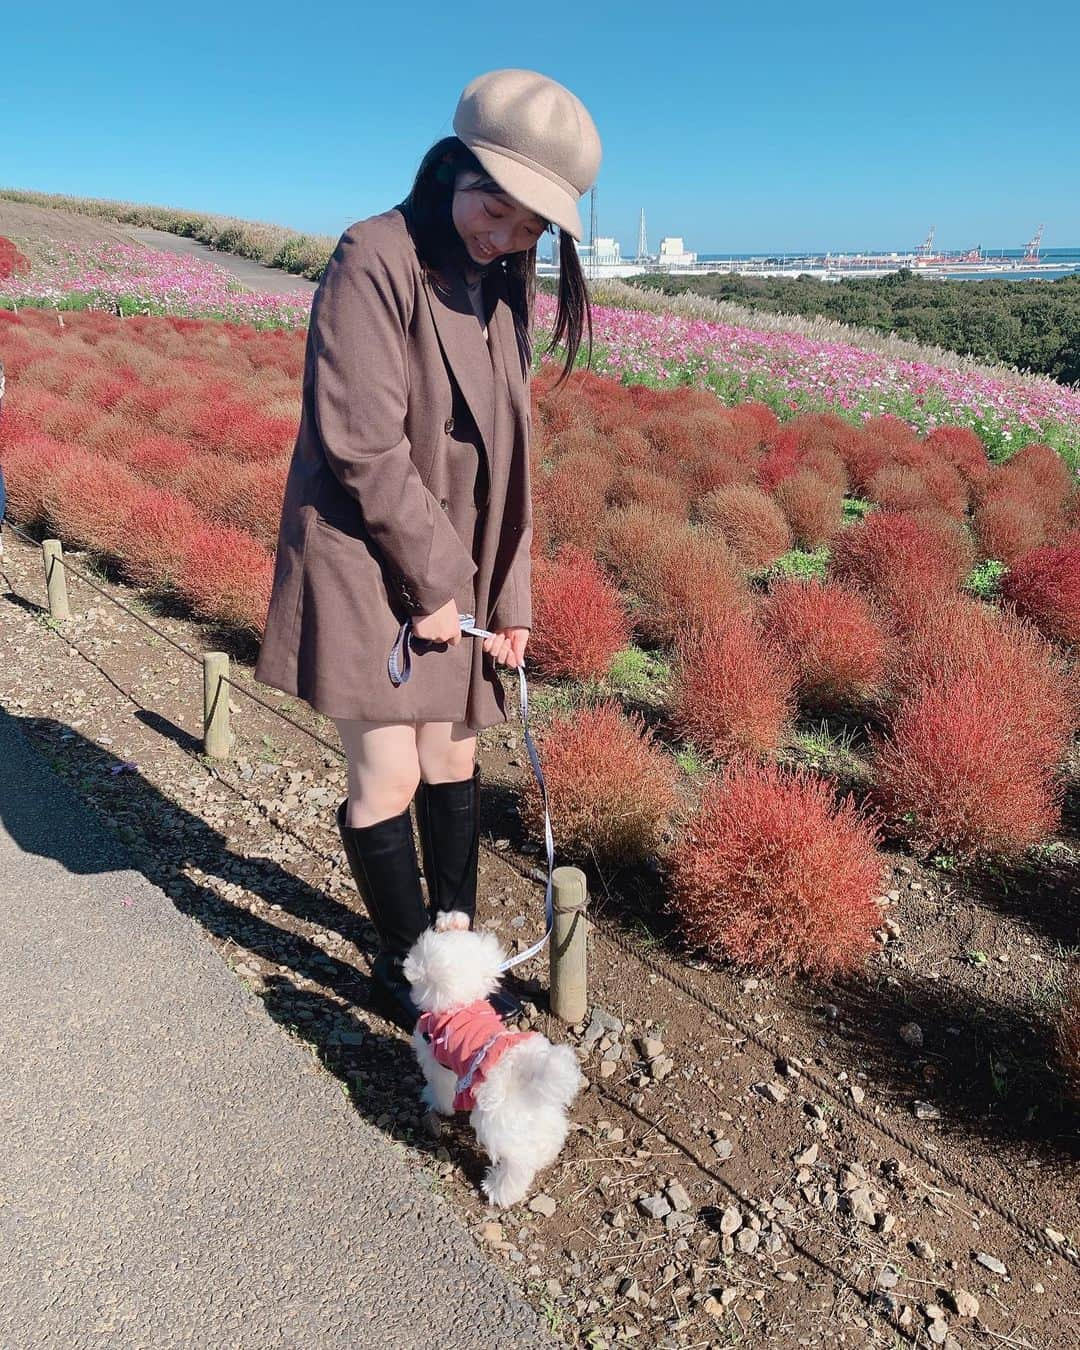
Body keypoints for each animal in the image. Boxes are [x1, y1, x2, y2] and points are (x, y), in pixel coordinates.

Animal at [405, 923, 585, 1209]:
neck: (463, 1004)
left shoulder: (439, 1062)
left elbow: (441, 1089)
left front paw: (436, 1103)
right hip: (538, 1116)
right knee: (548, 1135)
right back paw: (545, 1154)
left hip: (495, 1123)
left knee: (517, 1164)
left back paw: (498, 1190)